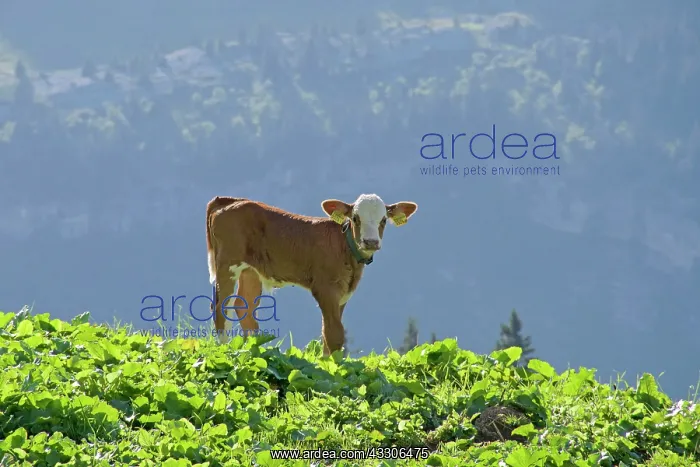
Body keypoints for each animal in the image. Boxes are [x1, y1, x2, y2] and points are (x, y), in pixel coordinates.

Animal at [205, 194, 418, 356]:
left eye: (384, 220)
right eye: (356, 218)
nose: (371, 242)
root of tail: (229, 200)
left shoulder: (343, 294)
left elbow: (327, 332)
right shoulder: (325, 289)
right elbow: (334, 334)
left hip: (251, 271)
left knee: (244, 307)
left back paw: (253, 350)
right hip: (228, 263)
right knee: (221, 307)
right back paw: (226, 352)